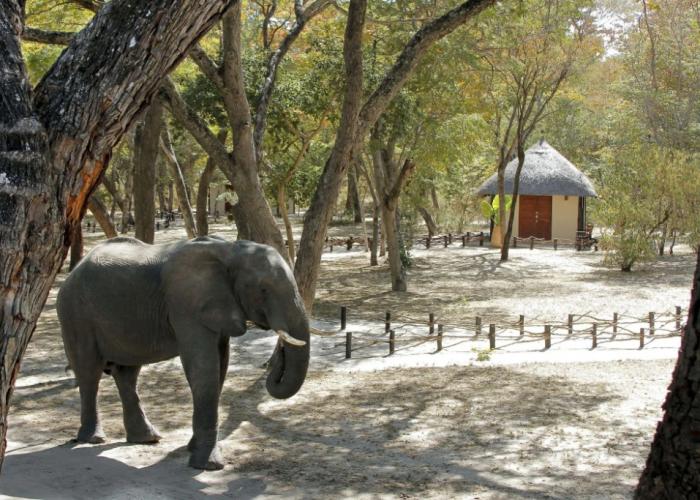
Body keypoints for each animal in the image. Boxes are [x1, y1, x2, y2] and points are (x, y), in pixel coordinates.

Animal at [57, 235, 309, 470]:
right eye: (263, 289)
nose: (280, 351)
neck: (230, 250)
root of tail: (72, 272)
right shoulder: (187, 304)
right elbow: (202, 368)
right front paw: (208, 465)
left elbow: (220, 366)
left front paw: (193, 448)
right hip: (74, 314)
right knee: (89, 373)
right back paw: (93, 439)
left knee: (127, 374)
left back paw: (147, 439)